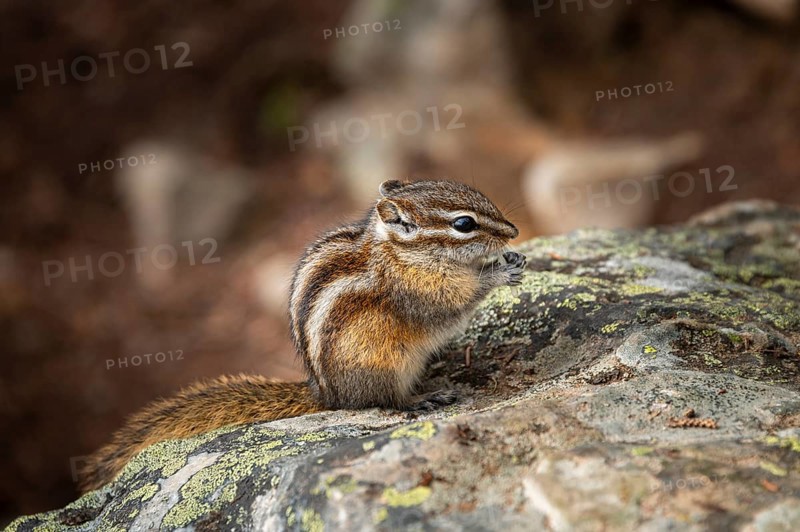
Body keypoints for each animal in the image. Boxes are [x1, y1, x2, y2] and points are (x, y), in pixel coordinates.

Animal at [79, 179, 526, 492]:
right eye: (464, 223)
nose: (513, 231)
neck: (402, 253)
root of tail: (326, 394)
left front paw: (512, 258)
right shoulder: (416, 293)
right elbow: (451, 305)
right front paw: (498, 273)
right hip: (382, 365)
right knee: (385, 400)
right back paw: (422, 397)